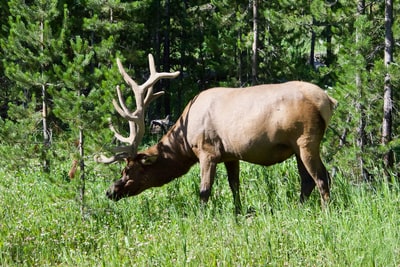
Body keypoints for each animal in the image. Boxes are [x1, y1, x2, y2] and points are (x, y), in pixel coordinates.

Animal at [97, 53, 338, 215]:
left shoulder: (207, 151)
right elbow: (235, 186)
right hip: (296, 147)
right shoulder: (231, 154)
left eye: (128, 170)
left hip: (306, 140)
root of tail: (328, 100)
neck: (184, 142)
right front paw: (238, 213)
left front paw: (201, 217)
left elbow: (204, 190)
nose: (110, 191)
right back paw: (300, 209)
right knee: (307, 180)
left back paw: (326, 213)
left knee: (321, 177)